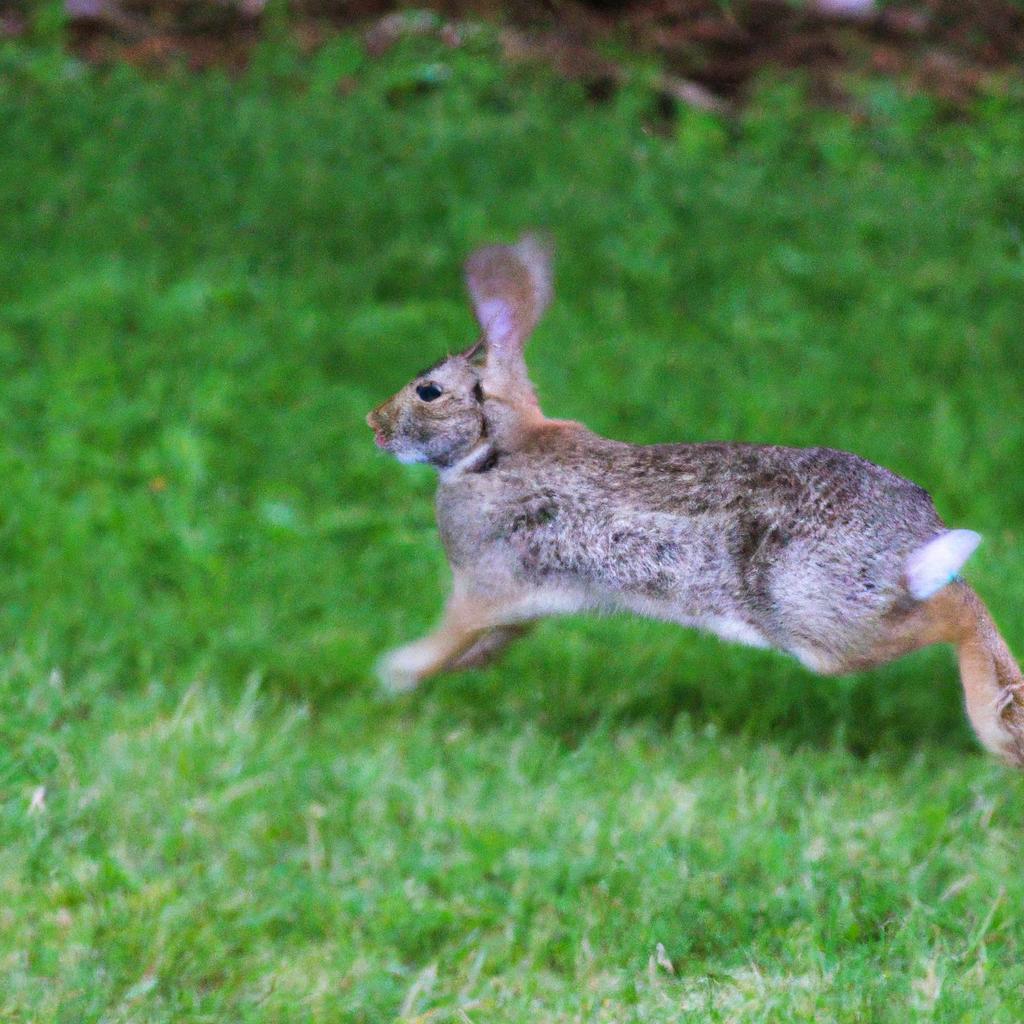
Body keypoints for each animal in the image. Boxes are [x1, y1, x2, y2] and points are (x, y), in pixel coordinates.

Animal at [366, 232, 1024, 761]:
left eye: (428, 391)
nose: (373, 423)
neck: (493, 448)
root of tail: (911, 535)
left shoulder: (482, 585)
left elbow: (449, 635)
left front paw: (397, 673)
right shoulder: (522, 602)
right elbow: (489, 643)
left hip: (821, 623)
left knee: (954, 610)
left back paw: (995, 729)